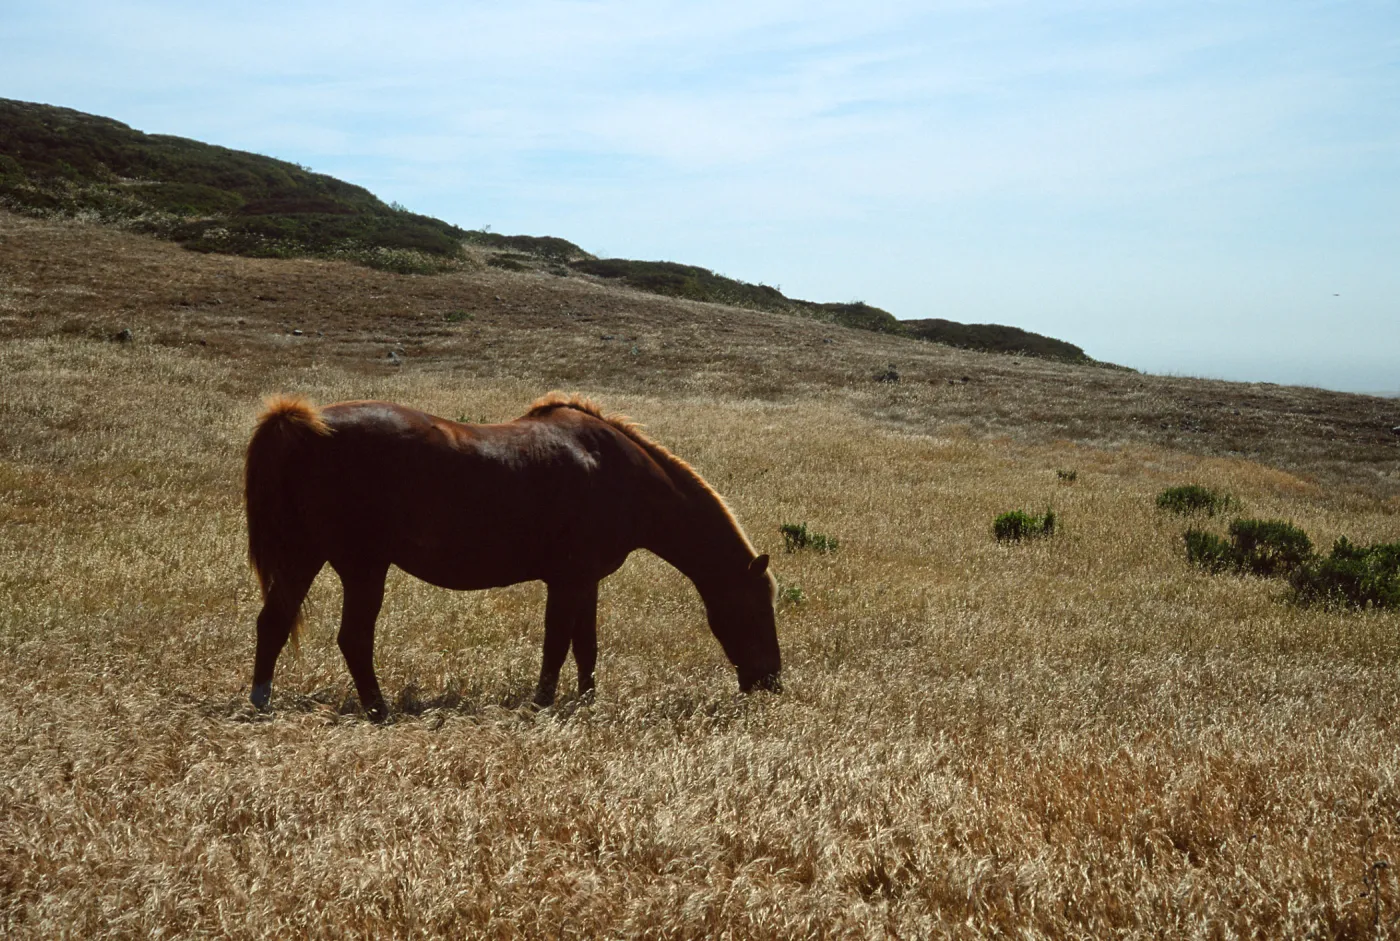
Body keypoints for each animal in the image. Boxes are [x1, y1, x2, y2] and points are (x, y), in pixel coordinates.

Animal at [244, 392, 781, 720]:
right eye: (757, 608)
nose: (771, 681)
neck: (619, 473)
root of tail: (305, 425)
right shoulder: (569, 581)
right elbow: (557, 645)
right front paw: (543, 704)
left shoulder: (585, 581)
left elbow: (585, 646)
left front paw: (586, 702)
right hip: (363, 568)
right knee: (354, 639)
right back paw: (379, 710)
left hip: (303, 557)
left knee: (273, 623)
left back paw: (261, 703)